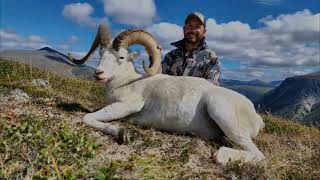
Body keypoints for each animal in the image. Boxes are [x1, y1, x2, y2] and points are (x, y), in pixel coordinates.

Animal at [69, 24, 264, 165]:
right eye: (101, 54)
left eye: (121, 57)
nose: (99, 73)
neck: (127, 81)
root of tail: (257, 118)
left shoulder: (128, 105)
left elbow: (87, 117)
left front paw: (122, 133)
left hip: (221, 112)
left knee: (258, 155)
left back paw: (220, 155)